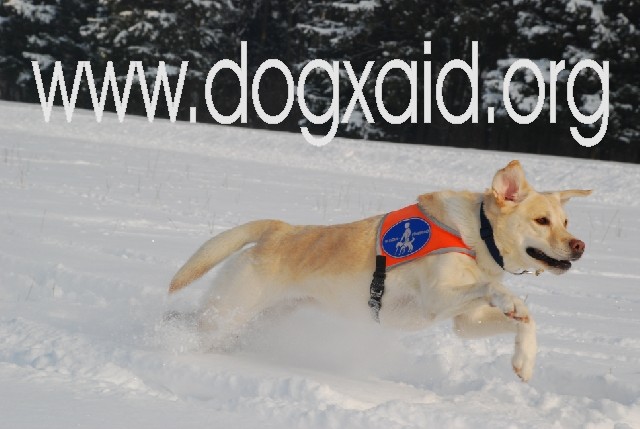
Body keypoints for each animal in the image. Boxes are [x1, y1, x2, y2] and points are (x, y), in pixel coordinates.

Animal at [169, 159, 592, 380]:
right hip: (229, 311)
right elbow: (498, 292)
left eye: (566, 221)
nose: (580, 246)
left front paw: (525, 362)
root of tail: (279, 229)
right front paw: (510, 299)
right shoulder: (436, 299)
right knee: (185, 324)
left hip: (257, 318)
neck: (477, 237)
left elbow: (527, 321)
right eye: (541, 221)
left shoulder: (465, 323)